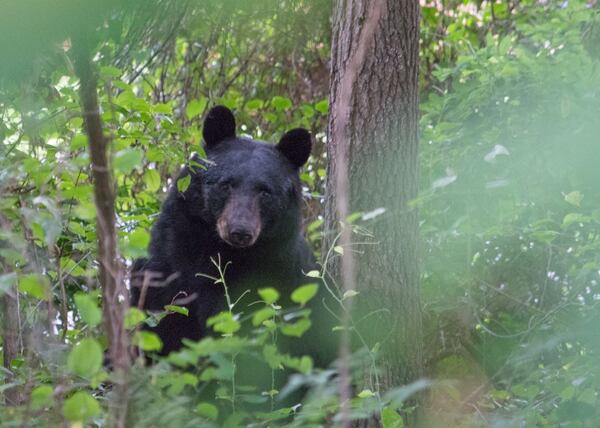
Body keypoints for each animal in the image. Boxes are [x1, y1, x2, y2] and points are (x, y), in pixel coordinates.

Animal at [131, 106, 318, 354]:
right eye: (226, 184)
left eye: (265, 192)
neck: (221, 250)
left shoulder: (280, 273)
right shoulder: (166, 264)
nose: (240, 231)